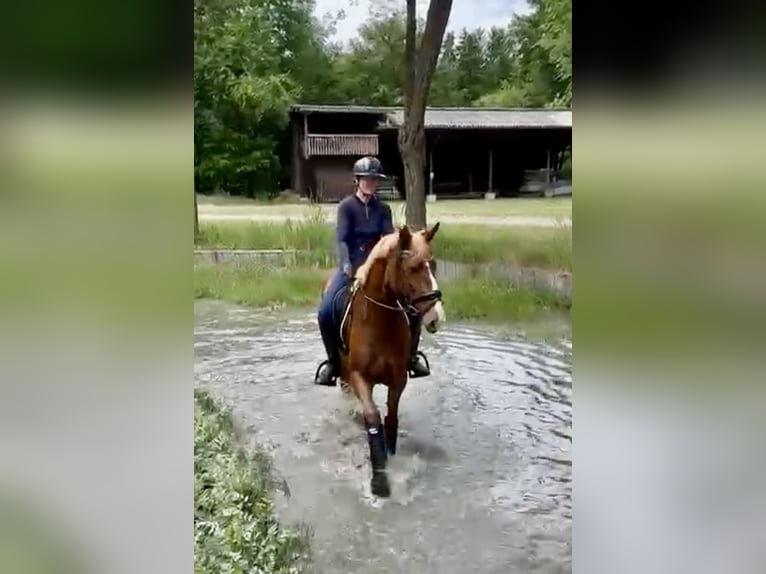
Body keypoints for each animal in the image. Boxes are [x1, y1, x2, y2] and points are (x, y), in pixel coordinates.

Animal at [319, 222, 445, 497]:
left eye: (433, 264)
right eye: (413, 268)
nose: (436, 317)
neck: (378, 322)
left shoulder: (398, 379)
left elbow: (391, 419)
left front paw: (390, 459)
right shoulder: (358, 378)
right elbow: (373, 418)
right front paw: (379, 480)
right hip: (345, 377)